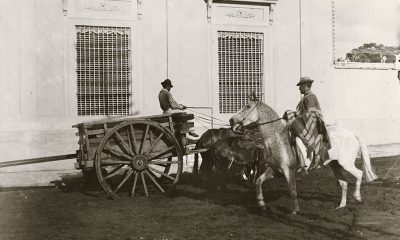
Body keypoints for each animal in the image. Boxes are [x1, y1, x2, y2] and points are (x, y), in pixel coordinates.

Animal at [228, 94, 378, 213]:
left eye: (247, 106)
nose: (231, 120)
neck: (278, 139)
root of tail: (351, 134)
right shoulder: (275, 170)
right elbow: (258, 182)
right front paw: (261, 203)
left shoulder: (289, 171)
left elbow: (293, 191)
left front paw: (295, 210)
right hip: (335, 165)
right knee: (344, 183)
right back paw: (341, 206)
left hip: (346, 164)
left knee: (359, 174)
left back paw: (357, 197)